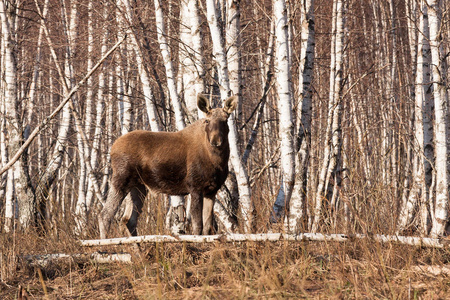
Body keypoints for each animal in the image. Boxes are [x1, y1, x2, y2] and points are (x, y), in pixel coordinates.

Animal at [99, 94, 239, 239]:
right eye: (207, 120)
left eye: (225, 120)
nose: (216, 141)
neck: (217, 162)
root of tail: (112, 148)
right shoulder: (195, 187)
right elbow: (198, 226)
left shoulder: (211, 191)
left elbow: (207, 227)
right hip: (121, 179)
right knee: (105, 215)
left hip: (138, 186)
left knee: (128, 220)